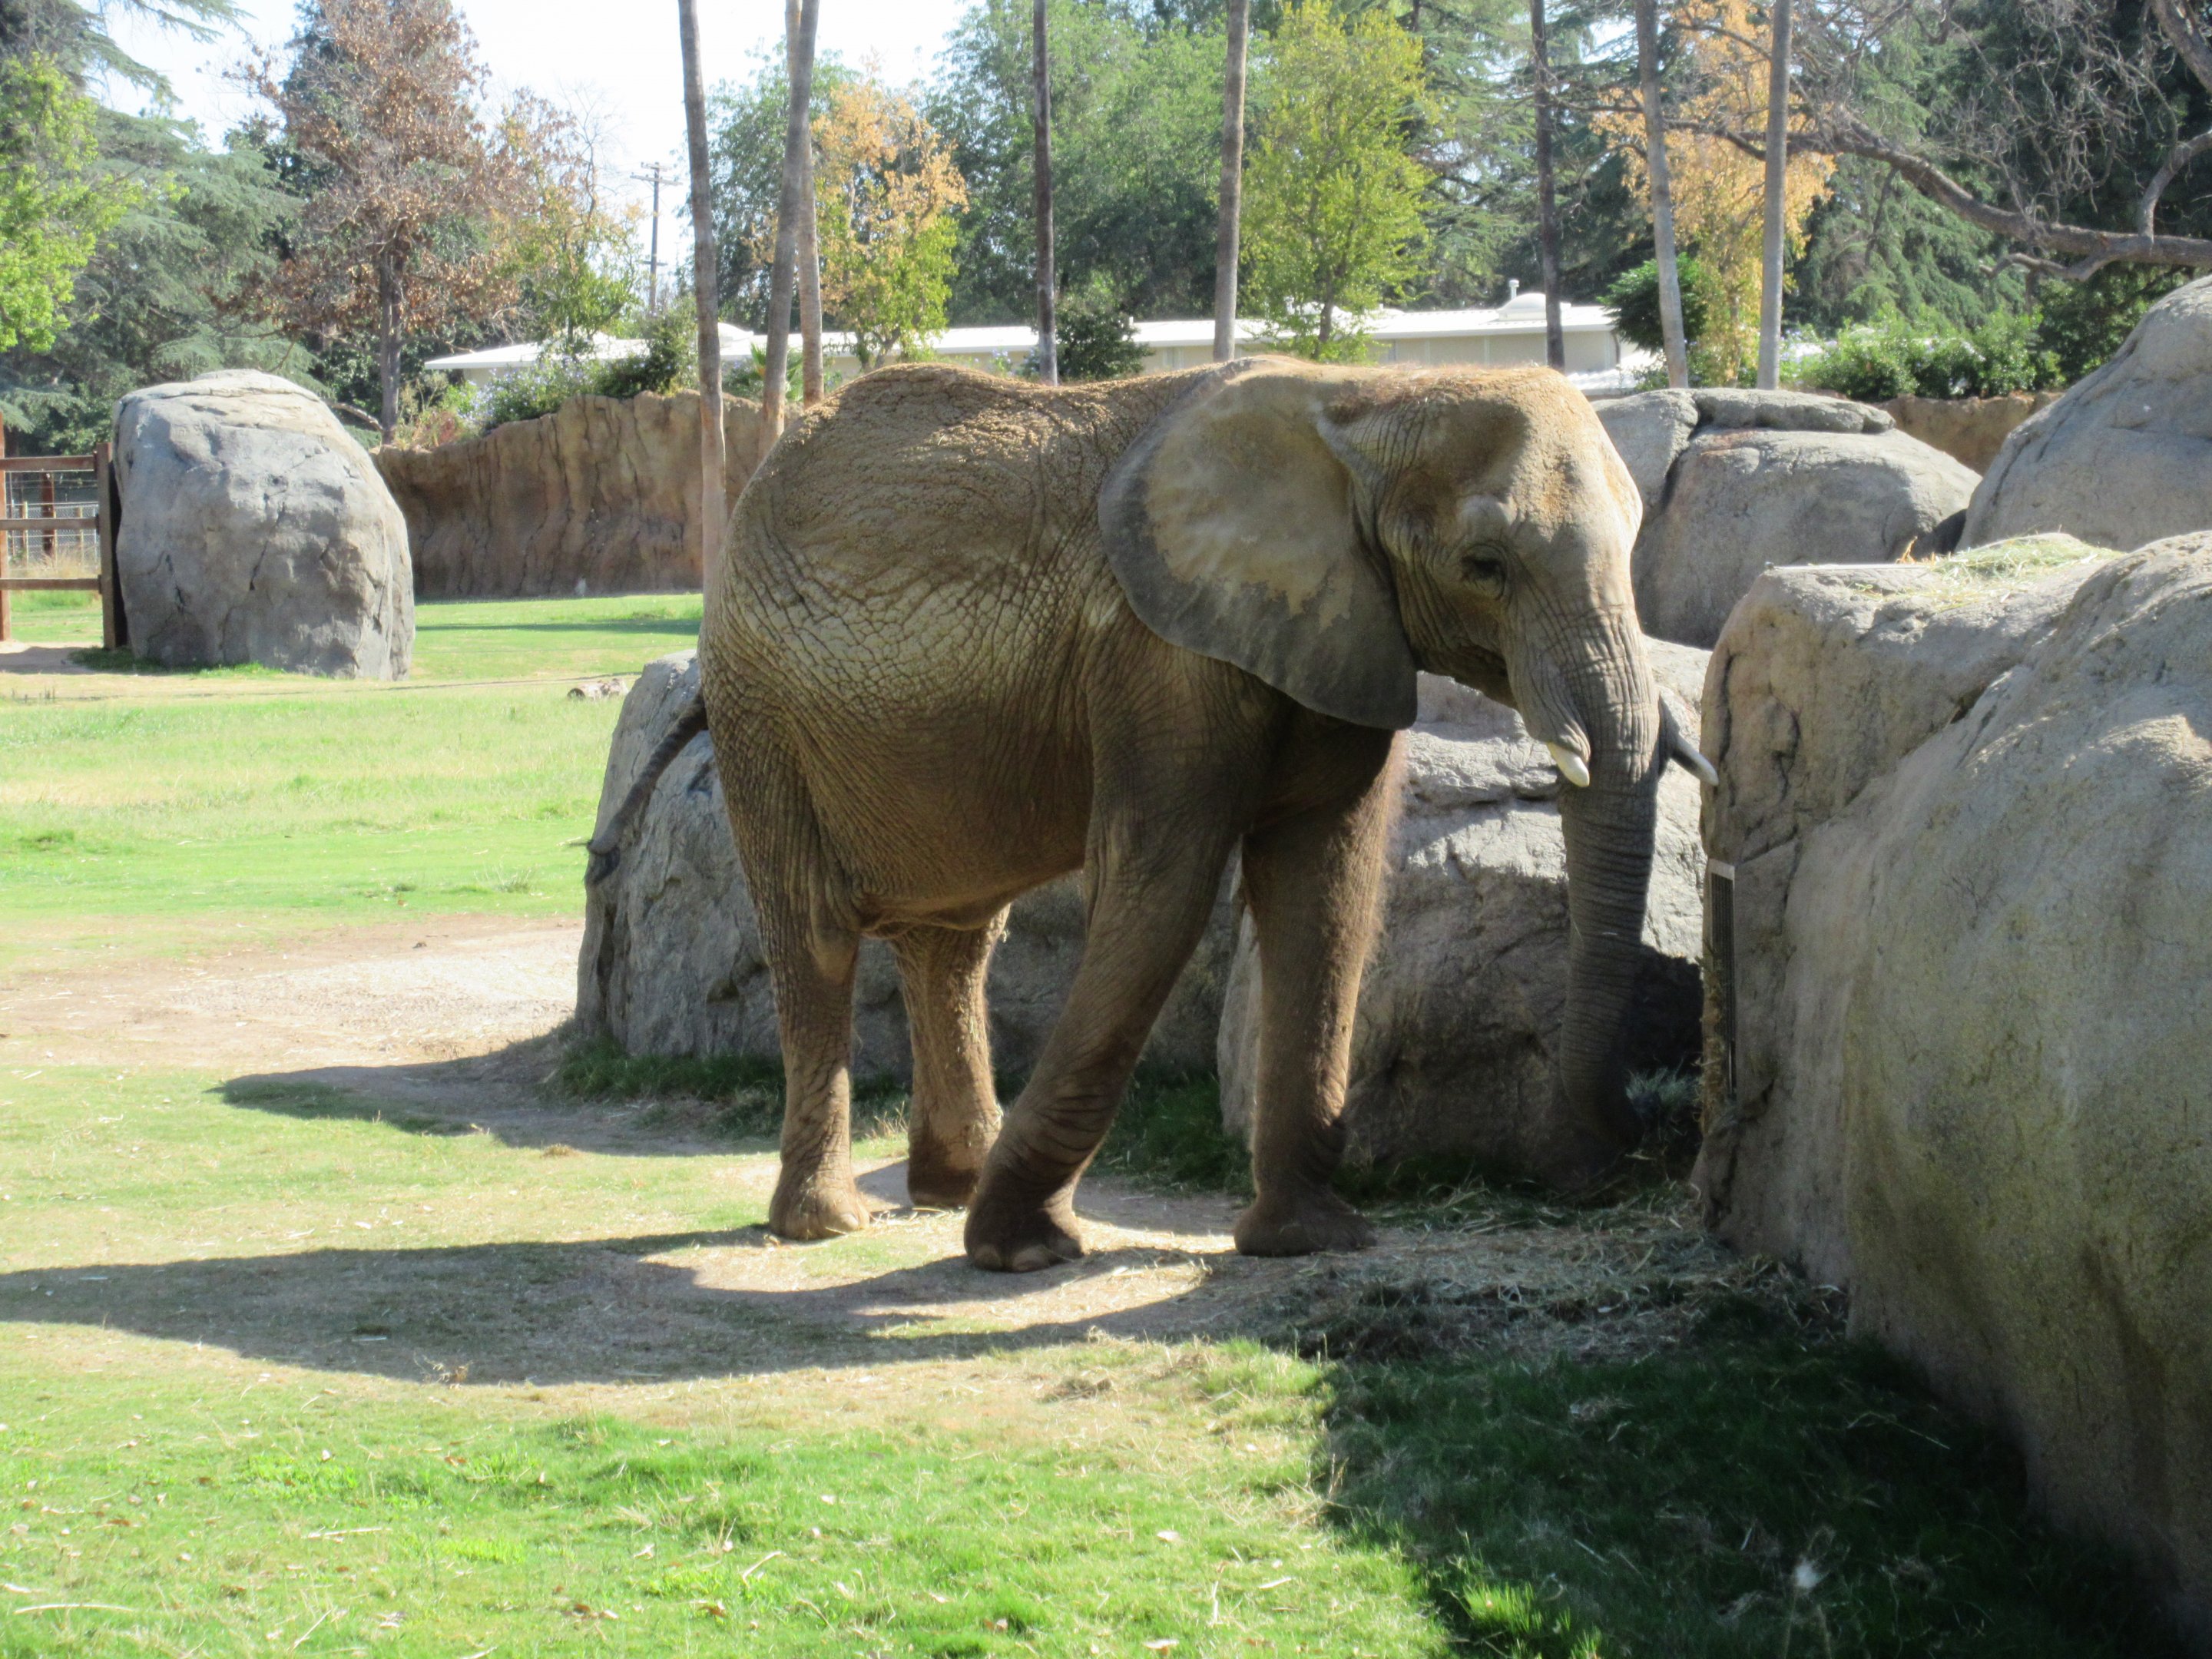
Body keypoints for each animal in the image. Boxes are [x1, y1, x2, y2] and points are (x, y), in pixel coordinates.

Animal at [592, 356, 1712, 1271]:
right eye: (1487, 565)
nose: (1639, 1141)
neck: (1367, 400)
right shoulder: (1159, 656)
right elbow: (1164, 891)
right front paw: (1023, 1254)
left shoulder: (1340, 629)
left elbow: (1328, 895)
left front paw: (1311, 1243)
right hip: (762, 711)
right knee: (819, 936)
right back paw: (829, 1226)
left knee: (955, 941)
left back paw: (942, 1190)